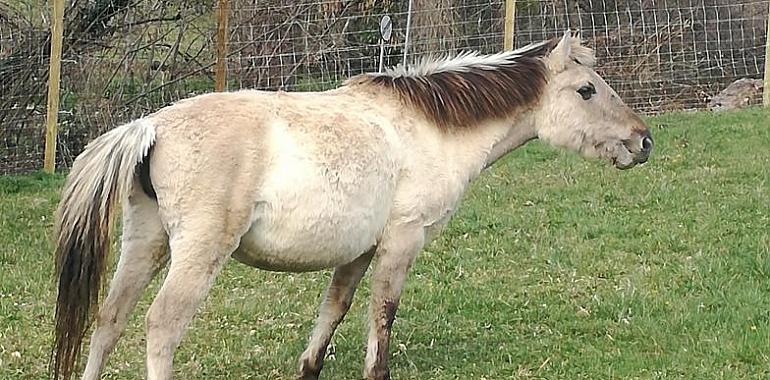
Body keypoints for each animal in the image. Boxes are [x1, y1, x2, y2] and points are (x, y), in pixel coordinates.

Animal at [51, 32, 652, 380]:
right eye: (587, 90)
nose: (643, 141)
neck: (430, 128)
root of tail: (151, 126)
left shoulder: (358, 251)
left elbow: (333, 311)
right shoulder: (402, 242)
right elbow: (381, 318)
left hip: (145, 243)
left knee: (108, 321)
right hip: (196, 255)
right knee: (161, 326)